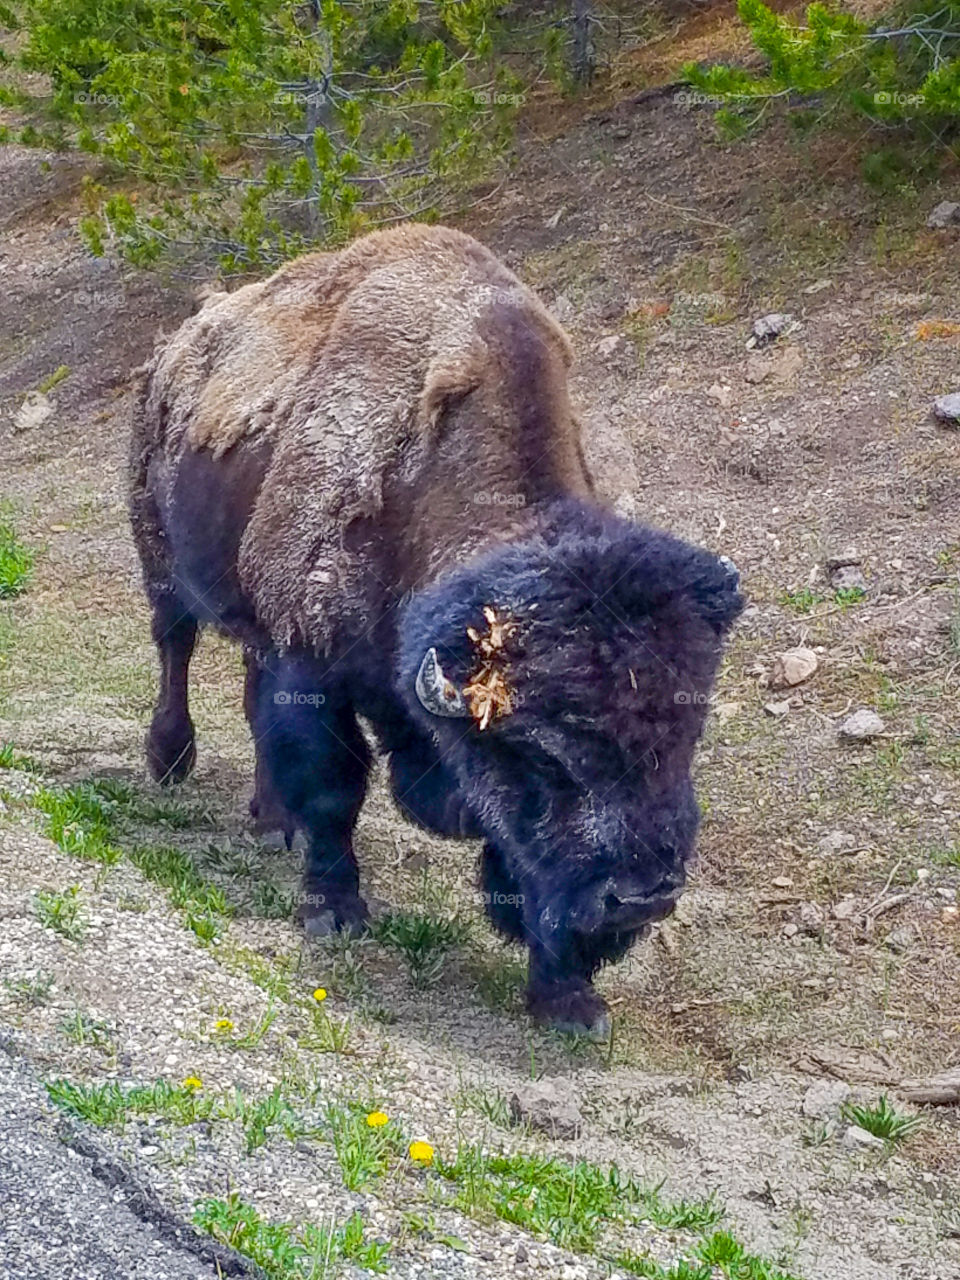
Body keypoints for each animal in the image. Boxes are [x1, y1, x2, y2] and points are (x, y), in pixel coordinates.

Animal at [130, 223, 742, 1036]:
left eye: (687, 735)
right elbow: (334, 787)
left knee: (251, 697)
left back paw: (269, 823)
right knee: (176, 646)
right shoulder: (312, 661)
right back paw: (171, 763)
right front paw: (335, 913)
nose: (643, 897)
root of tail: (174, 348)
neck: (427, 492)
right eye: (545, 756)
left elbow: (515, 856)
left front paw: (570, 1001)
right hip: (159, 554)